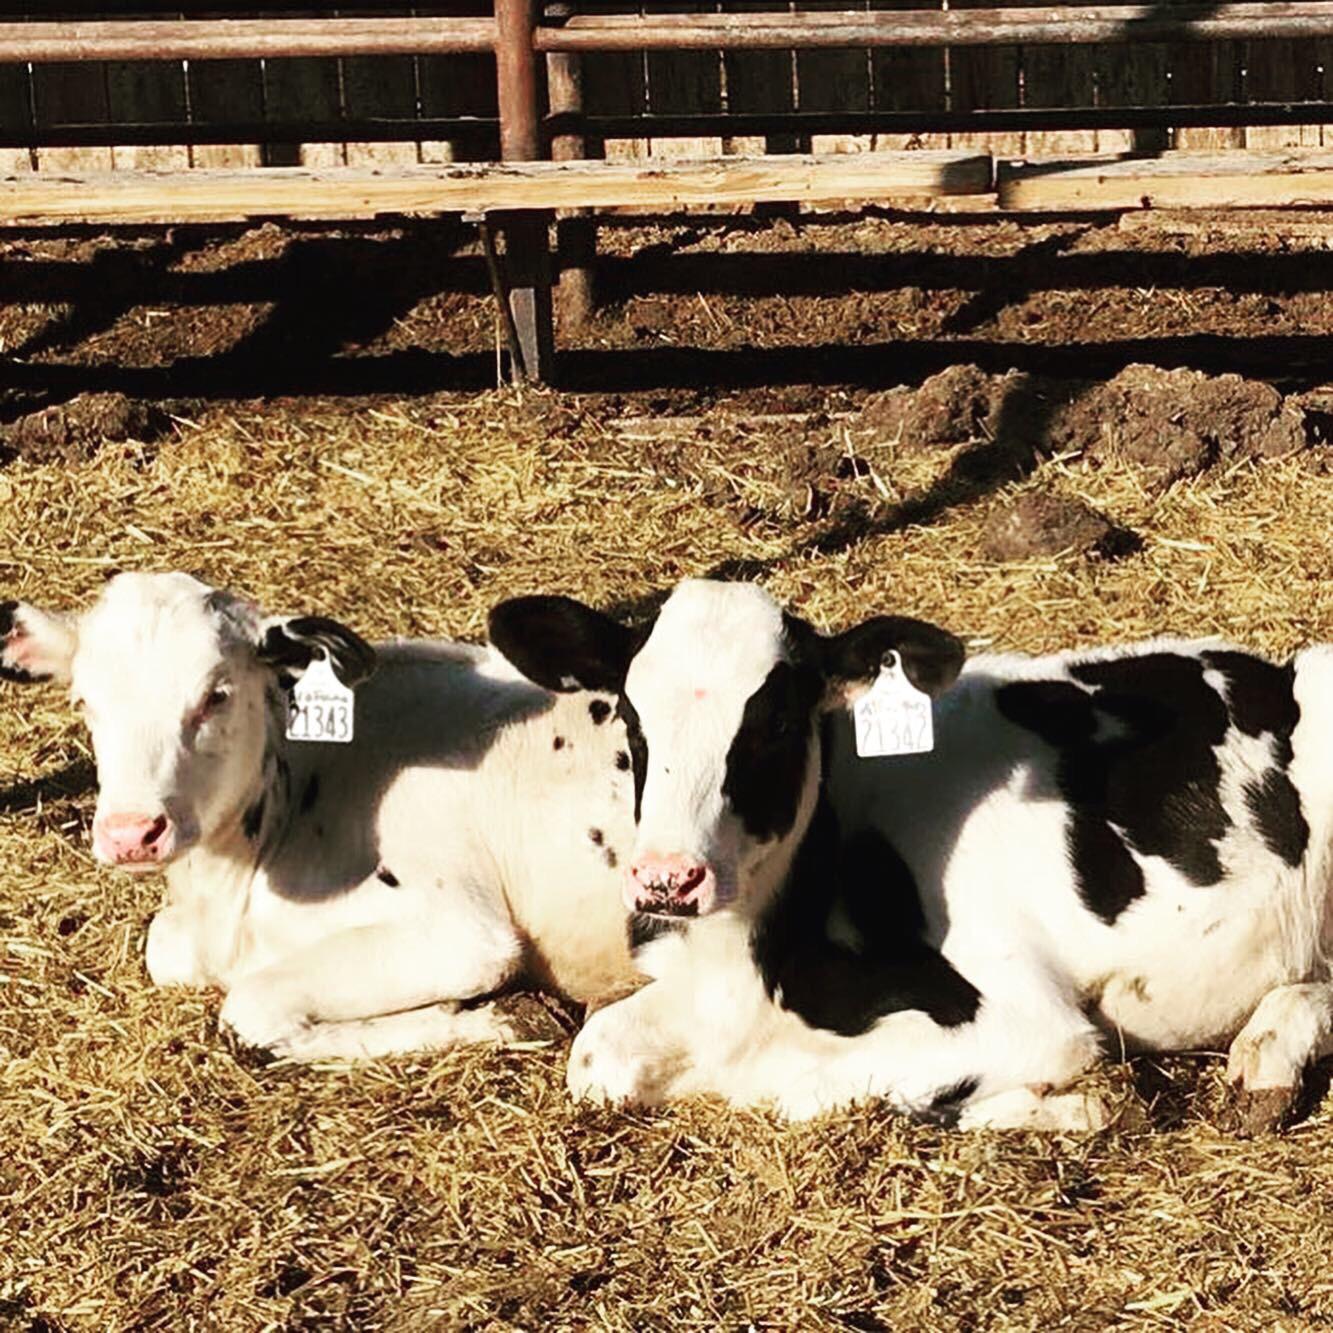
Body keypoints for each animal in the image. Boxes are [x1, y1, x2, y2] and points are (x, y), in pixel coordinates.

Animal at [1, 571, 643, 1060]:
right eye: (85, 701)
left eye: (216, 695)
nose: (132, 832)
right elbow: (165, 948)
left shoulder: (464, 930)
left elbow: (250, 1009)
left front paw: (495, 1017)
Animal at [490, 580, 1333, 1131]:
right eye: (631, 718)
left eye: (775, 721)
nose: (667, 878)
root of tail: (1272, 667)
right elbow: (593, 1056)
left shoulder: (1030, 1019)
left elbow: (809, 1089)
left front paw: (1082, 1102)